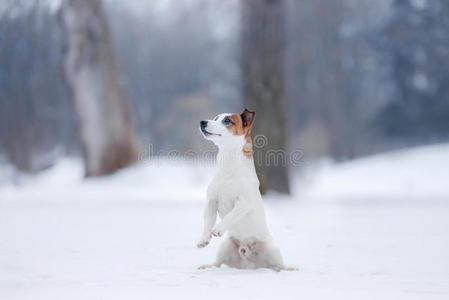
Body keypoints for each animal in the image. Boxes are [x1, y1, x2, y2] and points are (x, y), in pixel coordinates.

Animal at [195, 108, 294, 272]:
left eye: (227, 121)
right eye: (215, 118)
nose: (202, 122)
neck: (228, 164)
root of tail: (247, 262)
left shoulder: (244, 202)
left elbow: (231, 215)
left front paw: (218, 228)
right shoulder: (211, 201)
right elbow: (207, 221)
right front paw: (203, 238)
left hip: (272, 249)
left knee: (277, 265)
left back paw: (288, 268)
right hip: (225, 246)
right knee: (217, 263)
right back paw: (206, 266)